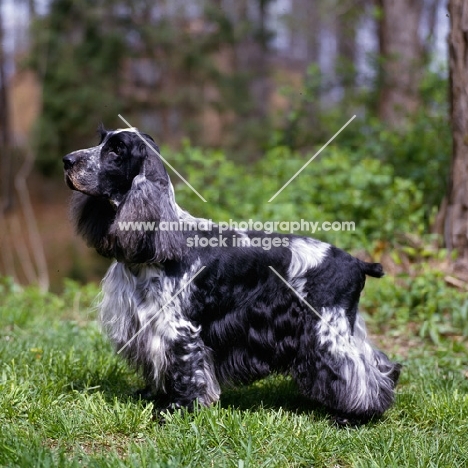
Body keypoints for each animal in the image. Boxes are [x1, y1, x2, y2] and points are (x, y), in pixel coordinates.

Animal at [62, 126, 400, 426]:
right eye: (101, 140)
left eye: (117, 150)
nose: (66, 160)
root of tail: (355, 262)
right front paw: (152, 395)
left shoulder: (179, 327)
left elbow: (185, 369)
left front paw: (176, 409)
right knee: (379, 363)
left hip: (329, 328)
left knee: (360, 372)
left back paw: (353, 415)